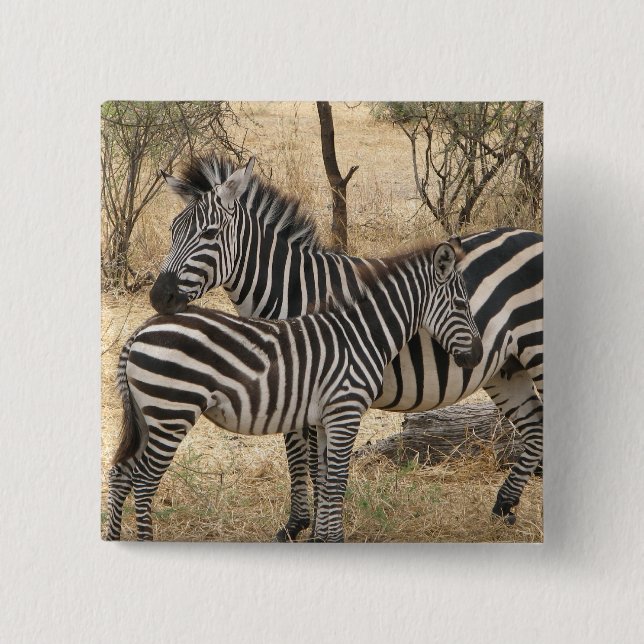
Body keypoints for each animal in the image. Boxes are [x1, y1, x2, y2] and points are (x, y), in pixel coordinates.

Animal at [106, 238, 483, 542]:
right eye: (462, 306)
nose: (478, 356)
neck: (361, 333)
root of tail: (139, 332)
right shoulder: (346, 411)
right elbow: (336, 482)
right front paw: (333, 540)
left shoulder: (326, 418)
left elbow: (326, 479)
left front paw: (323, 539)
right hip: (171, 411)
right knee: (143, 481)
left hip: (148, 416)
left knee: (121, 473)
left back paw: (113, 538)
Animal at [149, 154, 543, 537]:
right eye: (171, 231)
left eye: (209, 233)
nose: (159, 297)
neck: (294, 291)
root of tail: (532, 235)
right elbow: (298, 455)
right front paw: (298, 526)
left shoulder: (310, 385)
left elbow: (308, 459)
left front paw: (309, 529)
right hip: (505, 369)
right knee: (534, 424)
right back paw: (504, 505)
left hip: (536, 351)